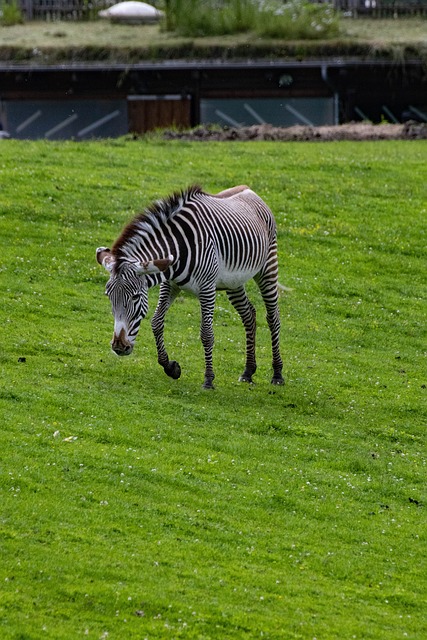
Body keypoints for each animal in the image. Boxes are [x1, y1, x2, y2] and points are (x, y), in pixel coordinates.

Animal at [97, 182, 284, 388]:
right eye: (109, 296)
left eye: (135, 296)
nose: (119, 347)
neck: (178, 249)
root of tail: (249, 189)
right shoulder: (169, 284)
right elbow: (156, 322)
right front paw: (170, 367)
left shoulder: (207, 288)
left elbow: (207, 333)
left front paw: (208, 379)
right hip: (234, 281)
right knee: (249, 315)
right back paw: (248, 371)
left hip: (267, 268)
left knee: (273, 318)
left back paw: (277, 373)